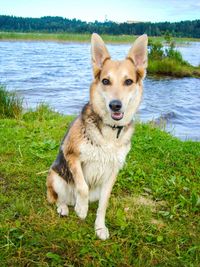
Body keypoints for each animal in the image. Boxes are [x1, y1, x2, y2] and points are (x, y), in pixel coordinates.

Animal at [46, 33, 148, 241]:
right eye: (106, 81)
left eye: (128, 81)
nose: (115, 105)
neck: (110, 131)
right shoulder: (72, 155)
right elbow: (82, 187)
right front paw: (82, 209)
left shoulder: (113, 172)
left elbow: (103, 204)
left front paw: (100, 227)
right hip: (55, 177)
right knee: (58, 198)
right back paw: (65, 207)